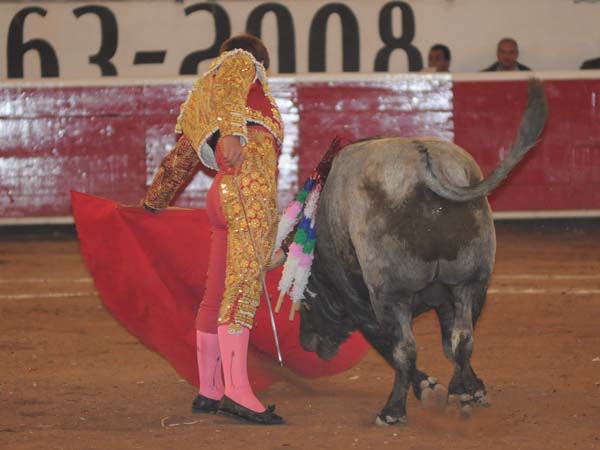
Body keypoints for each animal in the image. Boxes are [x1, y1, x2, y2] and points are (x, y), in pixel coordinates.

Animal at [298, 80, 548, 426]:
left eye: (306, 303)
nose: (306, 342)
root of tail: (424, 168)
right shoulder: (450, 293)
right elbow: (450, 342)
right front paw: (471, 388)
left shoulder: (362, 302)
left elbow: (388, 346)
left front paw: (427, 388)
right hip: (472, 282)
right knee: (462, 338)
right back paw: (463, 393)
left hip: (390, 295)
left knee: (405, 348)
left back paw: (392, 411)